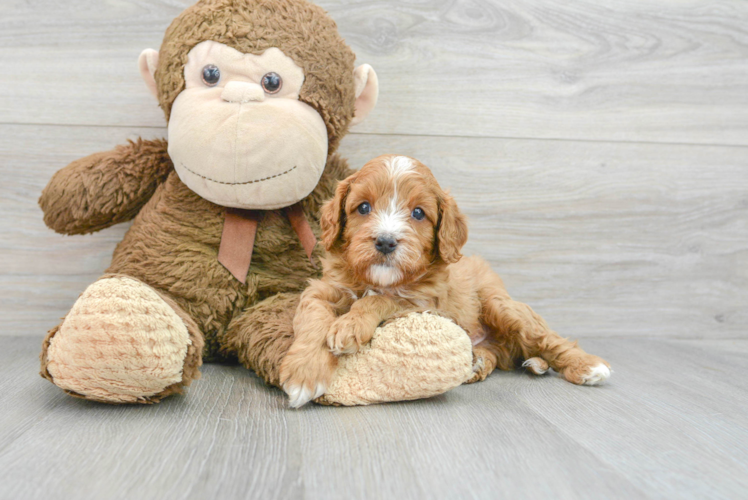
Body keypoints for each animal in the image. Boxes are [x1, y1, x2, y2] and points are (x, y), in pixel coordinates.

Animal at [278, 155, 612, 406]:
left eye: (418, 213)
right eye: (363, 207)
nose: (386, 242)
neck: (380, 279)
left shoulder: (423, 302)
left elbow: (381, 299)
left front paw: (349, 325)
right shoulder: (323, 289)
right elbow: (313, 318)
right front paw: (305, 373)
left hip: (500, 305)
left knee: (546, 338)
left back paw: (587, 365)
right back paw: (477, 362)